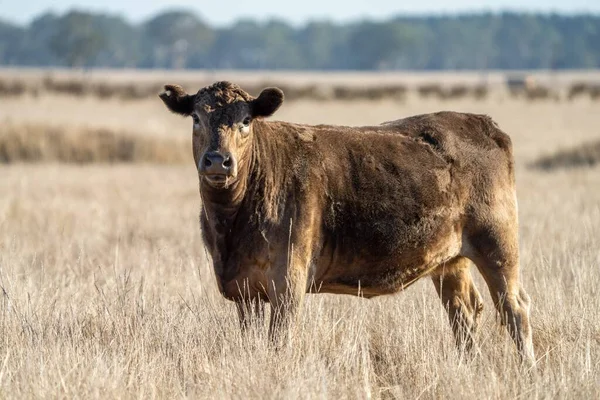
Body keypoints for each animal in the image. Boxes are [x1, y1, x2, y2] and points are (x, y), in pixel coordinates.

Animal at [159, 80, 536, 362]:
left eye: (246, 121)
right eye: (196, 118)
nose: (218, 161)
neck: (231, 227)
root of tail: (480, 121)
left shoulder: (287, 282)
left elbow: (280, 341)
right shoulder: (244, 291)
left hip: (498, 246)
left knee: (514, 308)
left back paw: (526, 368)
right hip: (450, 259)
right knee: (464, 310)